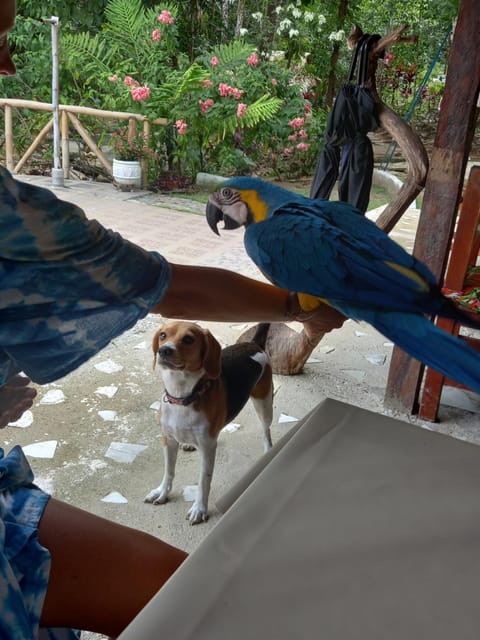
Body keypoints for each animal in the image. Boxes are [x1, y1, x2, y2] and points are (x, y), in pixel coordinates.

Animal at [144, 320, 274, 524]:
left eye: (189, 339)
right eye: (163, 335)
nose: (163, 350)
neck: (182, 396)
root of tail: (253, 344)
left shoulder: (207, 449)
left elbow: (204, 481)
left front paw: (199, 509)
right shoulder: (168, 440)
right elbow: (169, 471)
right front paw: (162, 492)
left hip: (264, 404)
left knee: (266, 431)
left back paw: (269, 452)